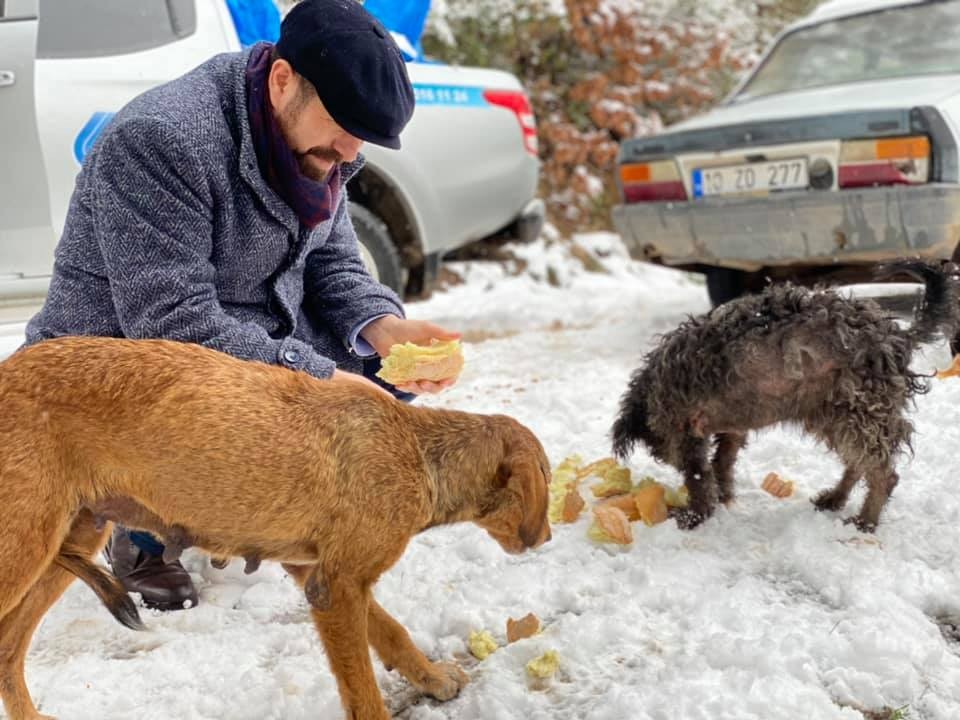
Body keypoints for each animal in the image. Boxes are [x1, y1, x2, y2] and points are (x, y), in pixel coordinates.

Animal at [0, 338, 548, 720]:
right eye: (544, 476)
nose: (545, 538)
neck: (418, 452)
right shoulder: (336, 588)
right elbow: (362, 687)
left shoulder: (316, 571)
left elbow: (391, 631)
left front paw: (432, 679)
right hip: (25, 544)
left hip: (72, 536)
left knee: (8, 645)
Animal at [612, 262, 956, 532]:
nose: (663, 456)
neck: (650, 392)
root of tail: (897, 336)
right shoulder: (732, 425)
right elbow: (723, 460)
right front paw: (725, 496)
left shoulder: (684, 429)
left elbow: (699, 475)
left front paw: (695, 514)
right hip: (831, 411)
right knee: (859, 462)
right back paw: (835, 498)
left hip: (859, 410)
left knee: (884, 474)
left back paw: (865, 522)